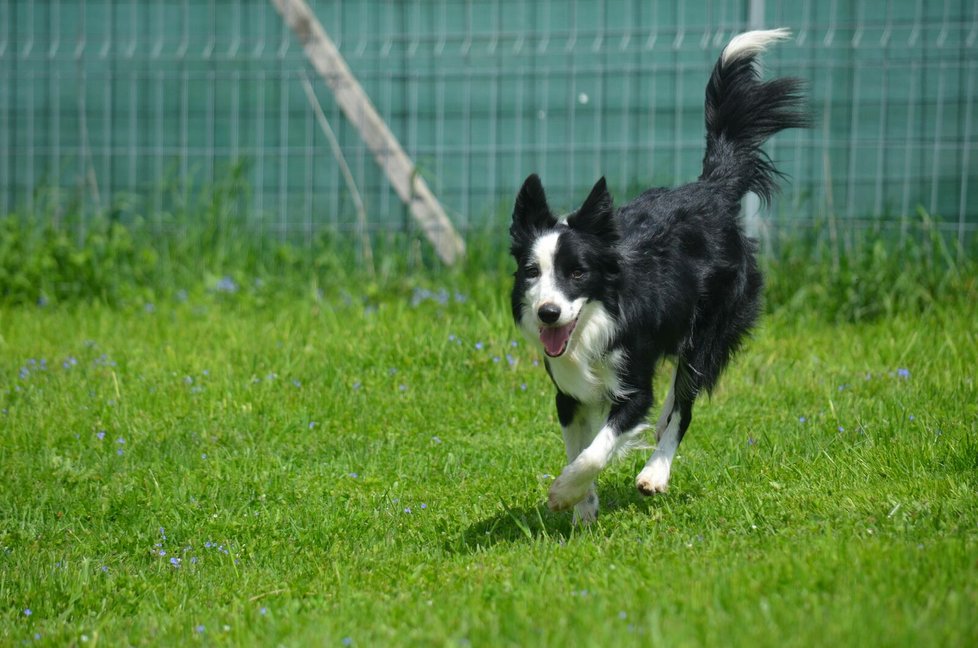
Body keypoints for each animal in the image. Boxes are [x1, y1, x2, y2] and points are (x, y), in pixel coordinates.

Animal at [508, 31, 804, 528]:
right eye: (533, 271)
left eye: (577, 272)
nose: (548, 314)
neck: (595, 321)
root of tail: (710, 190)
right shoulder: (569, 393)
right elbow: (578, 445)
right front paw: (583, 505)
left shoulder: (633, 385)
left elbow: (597, 448)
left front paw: (564, 493)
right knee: (677, 398)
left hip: (713, 327)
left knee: (685, 402)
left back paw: (655, 471)